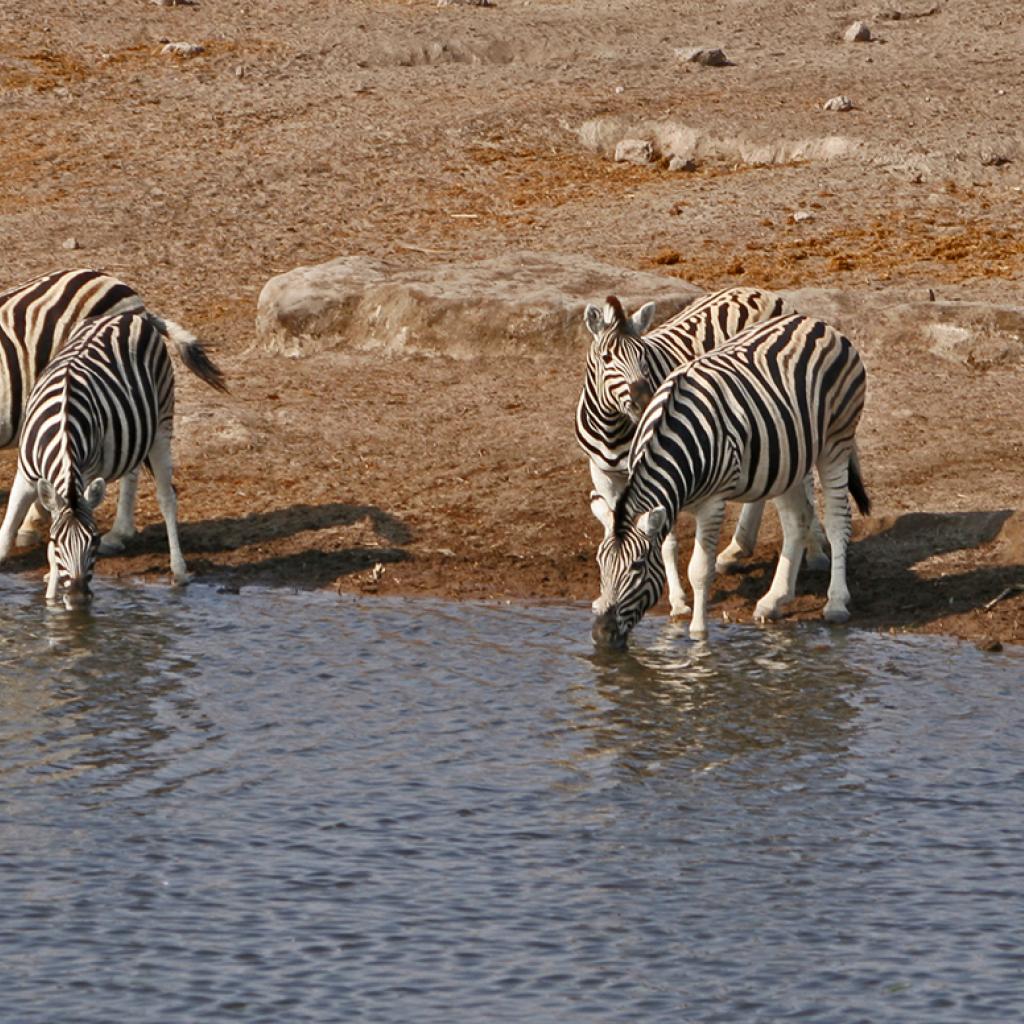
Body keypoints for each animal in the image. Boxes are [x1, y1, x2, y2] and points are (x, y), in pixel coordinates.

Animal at [0, 307, 226, 602]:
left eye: (94, 541)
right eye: (55, 541)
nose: (77, 597)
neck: (63, 427)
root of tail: (134, 316)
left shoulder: (83, 474)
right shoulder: (26, 475)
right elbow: (8, 530)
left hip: (162, 423)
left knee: (167, 498)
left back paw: (178, 571)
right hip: (131, 430)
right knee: (132, 469)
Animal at [573, 286, 827, 614]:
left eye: (643, 356)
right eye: (606, 358)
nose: (644, 399)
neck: (612, 429)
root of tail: (760, 291)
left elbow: (665, 541)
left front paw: (678, 601)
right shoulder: (602, 474)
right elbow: (612, 527)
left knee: (802, 475)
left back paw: (814, 549)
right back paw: (736, 550)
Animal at [589, 309, 868, 647]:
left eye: (637, 567)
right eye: (600, 565)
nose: (601, 634)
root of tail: (817, 323)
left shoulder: (713, 503)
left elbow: (699, 569)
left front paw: (698, 635)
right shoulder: (670, 501)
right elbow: (670, 547)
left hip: (836, 443)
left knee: (839, 520)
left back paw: (837, 602)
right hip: (788, 459)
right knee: (797, 520)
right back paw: (774, 600)